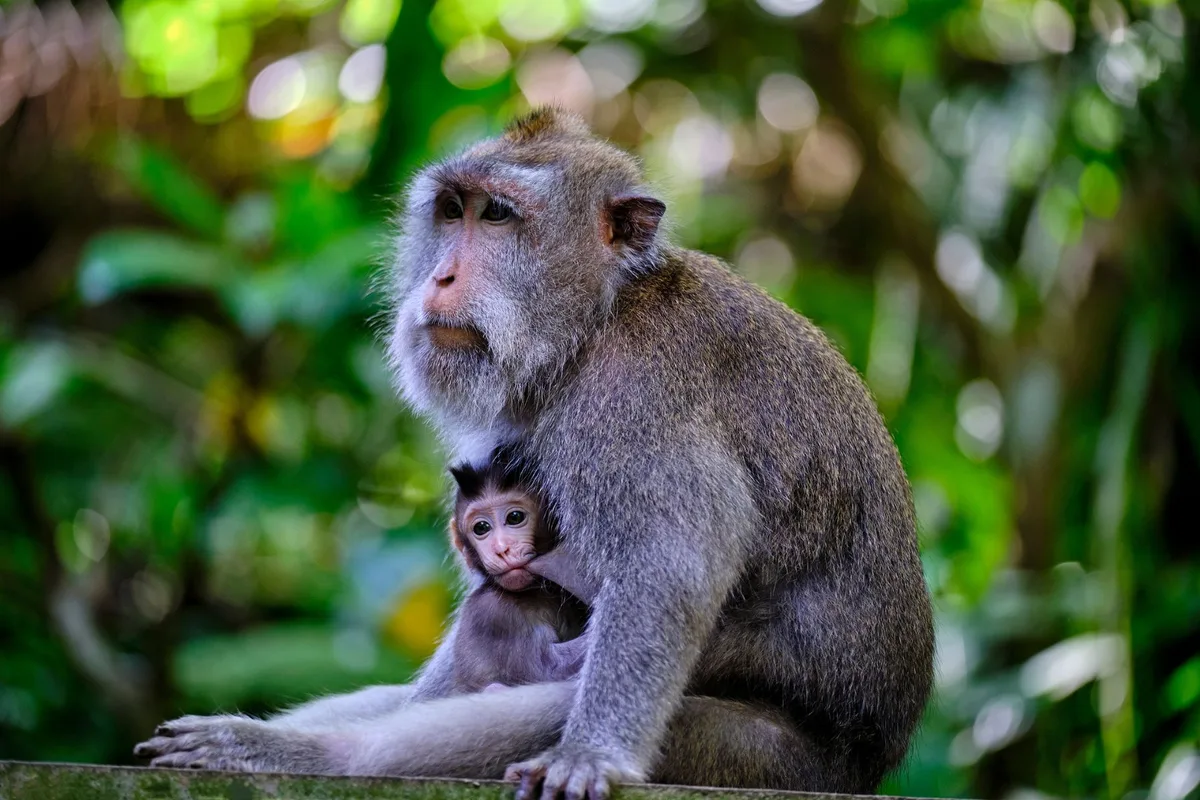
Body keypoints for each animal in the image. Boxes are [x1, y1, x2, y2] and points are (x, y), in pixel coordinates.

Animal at [446, 450, 596, 694]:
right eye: (481, 528)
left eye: (515, 517)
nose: (501, 549)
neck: (534, 592)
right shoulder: (495, 615)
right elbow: (547, 670)